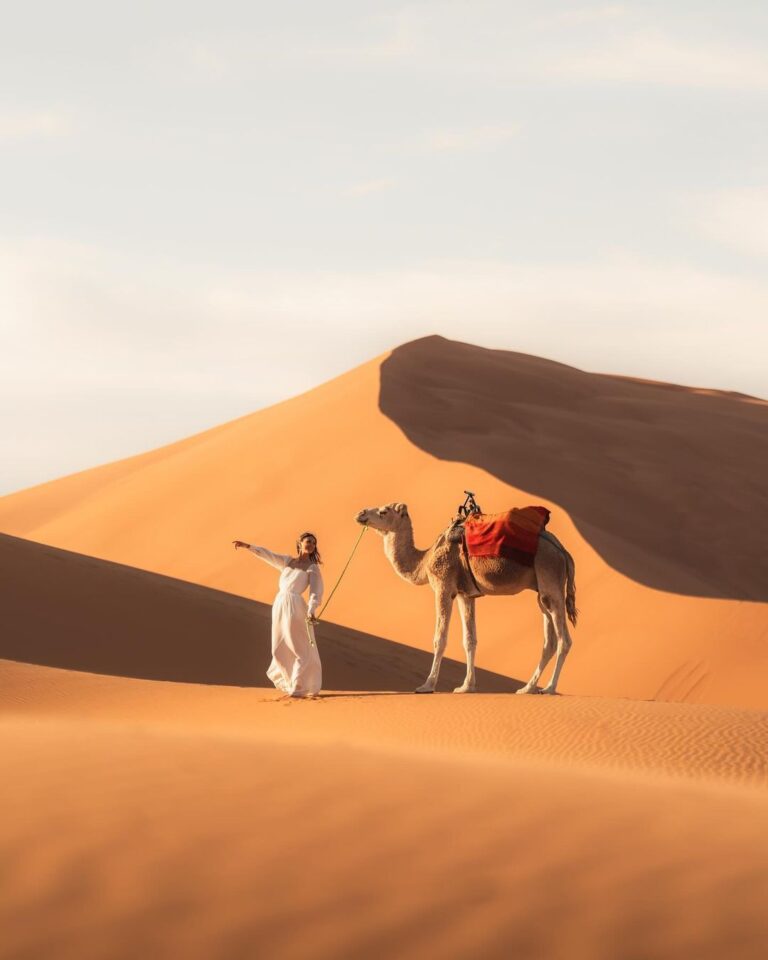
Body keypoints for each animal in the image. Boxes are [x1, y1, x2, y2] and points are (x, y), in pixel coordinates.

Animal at [356, 502, 580, 696]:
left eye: (383, 511)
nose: (361, 513)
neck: (424, 561)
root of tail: (563, 551)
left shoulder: (443, 587)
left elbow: (440, 638)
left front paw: (427, 685)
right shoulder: (466, 595)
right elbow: (469, 640)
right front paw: (466, 686)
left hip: (550, 575)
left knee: (564, 640)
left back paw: (549, 688)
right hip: (542, 593)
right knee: (549, 641)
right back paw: (527, 688)